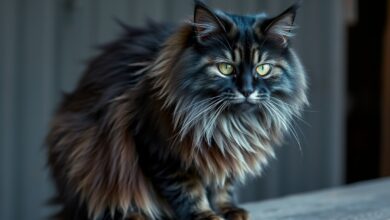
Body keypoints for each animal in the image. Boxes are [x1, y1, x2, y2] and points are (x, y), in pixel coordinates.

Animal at [45, 0, 308, 219]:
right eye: (225, 68)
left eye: (263, 68)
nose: (247, 89)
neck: (228, 124)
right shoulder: (160, 151)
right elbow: (188, 191)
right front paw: (205, 215)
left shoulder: (226, 154)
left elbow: (223, 185)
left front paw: (229, 209)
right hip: (86, 152)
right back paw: (134, 215)